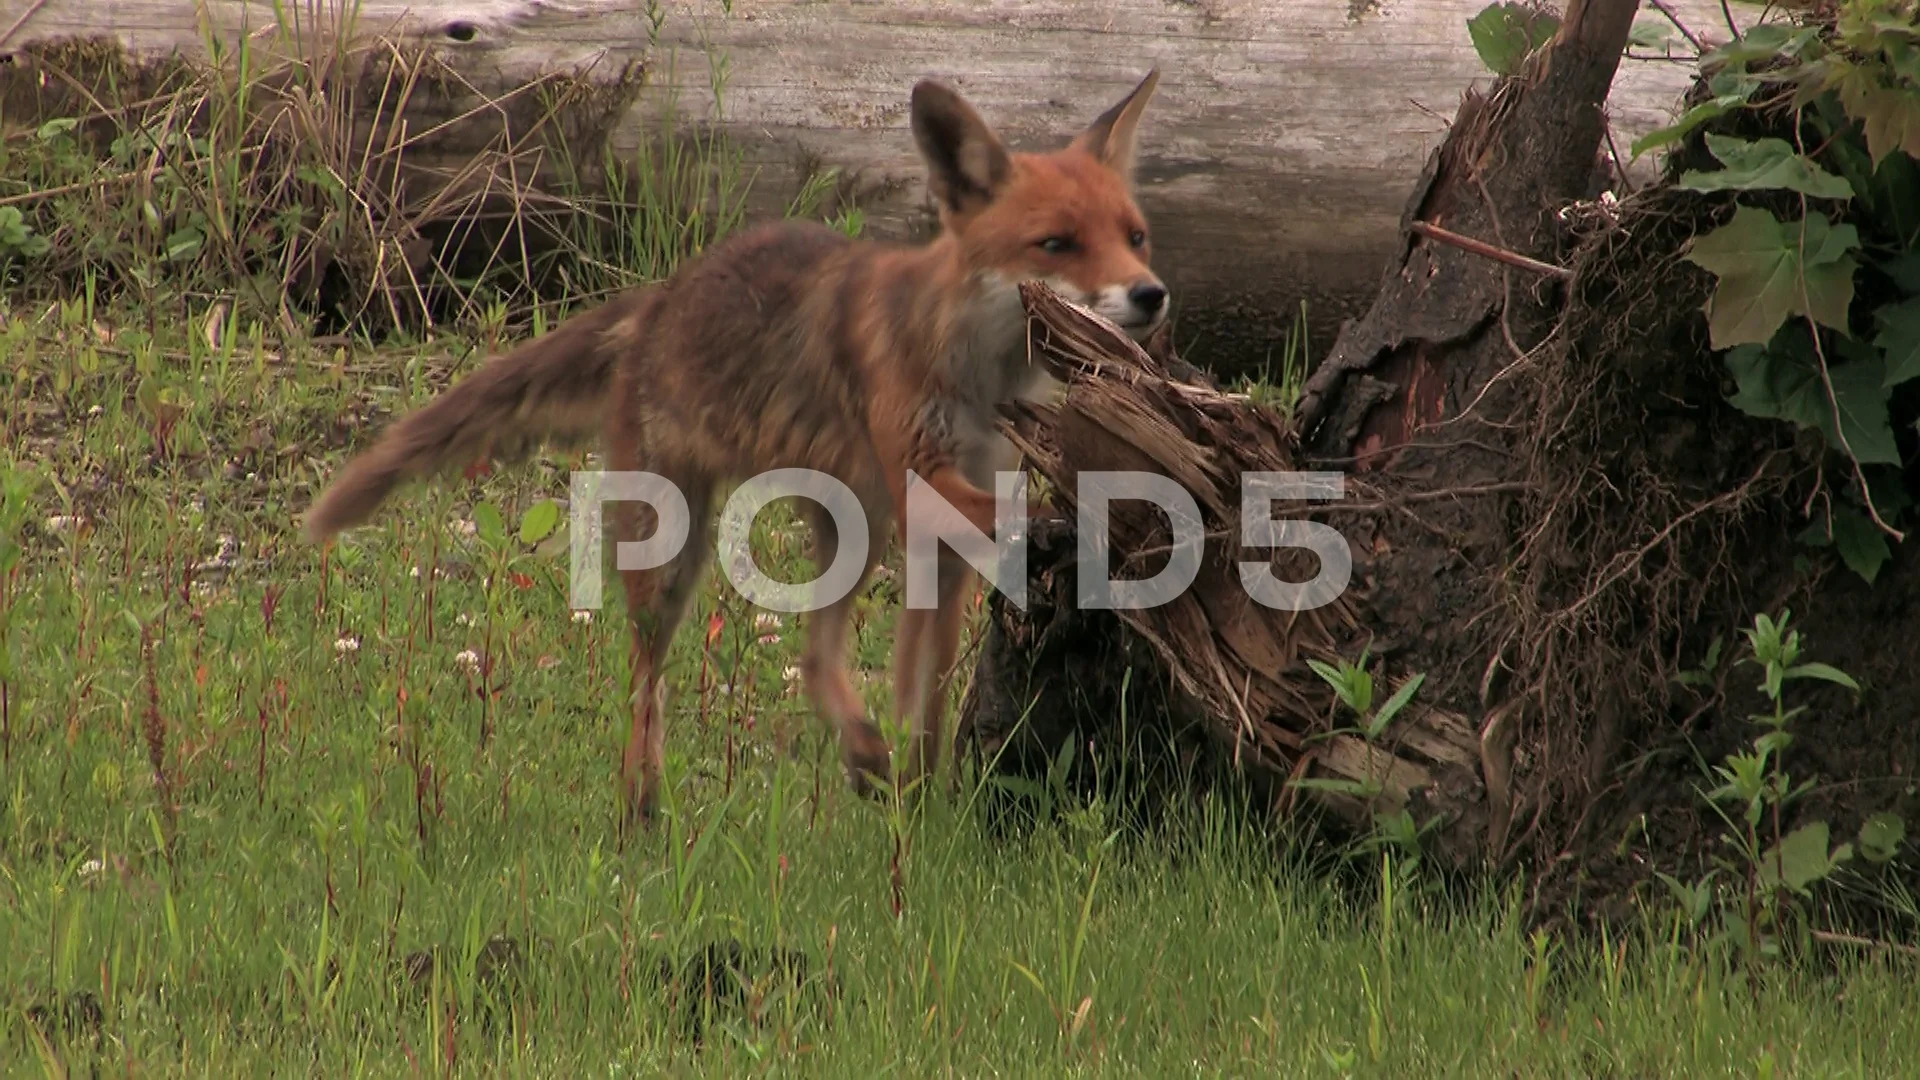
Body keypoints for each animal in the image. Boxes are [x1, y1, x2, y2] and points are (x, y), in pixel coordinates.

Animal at [303, 69, 1167, 822]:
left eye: (1136, 237)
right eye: (1056, 244)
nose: (1151, 294)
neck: (980, 377)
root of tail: (656, 300)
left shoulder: (945, 541)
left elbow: (924, 696)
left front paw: (925, 809)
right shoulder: (924, 486)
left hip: (854, 531)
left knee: (815, 658)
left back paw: (863, 759)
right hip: (673, 554)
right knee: (645, 683)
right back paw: (643, 813)